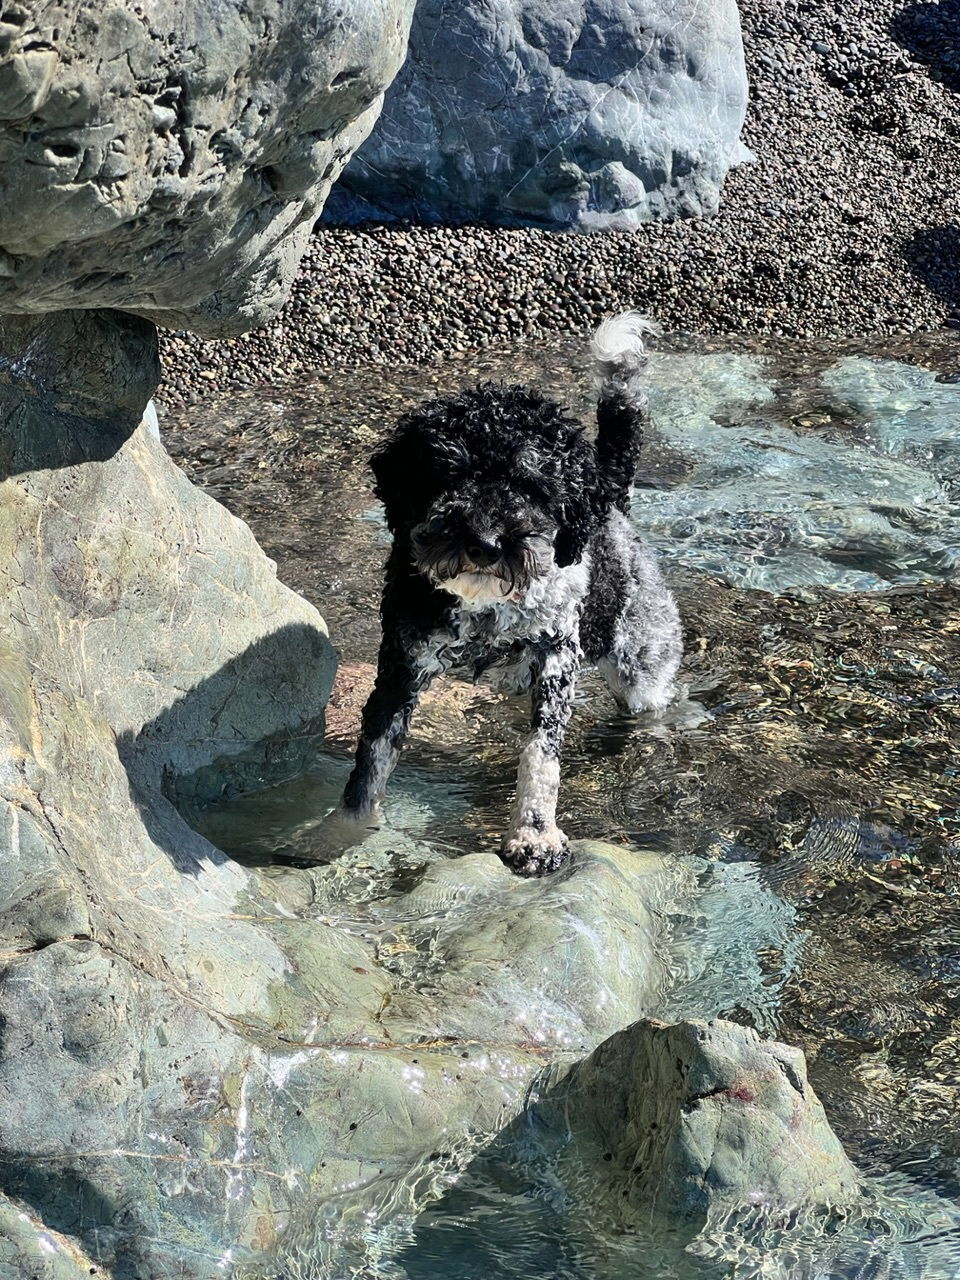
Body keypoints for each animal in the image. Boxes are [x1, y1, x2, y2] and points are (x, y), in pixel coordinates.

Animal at [337, 313, 686, 875]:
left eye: (531, 482)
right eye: (450, 471)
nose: (485, 543)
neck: (486, 609)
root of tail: (609, 498)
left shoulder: (555, 659)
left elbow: (540, 754)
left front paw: (534, 834)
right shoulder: (401, 664)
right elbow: (372, 758)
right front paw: (342, 834)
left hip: (641, 667)